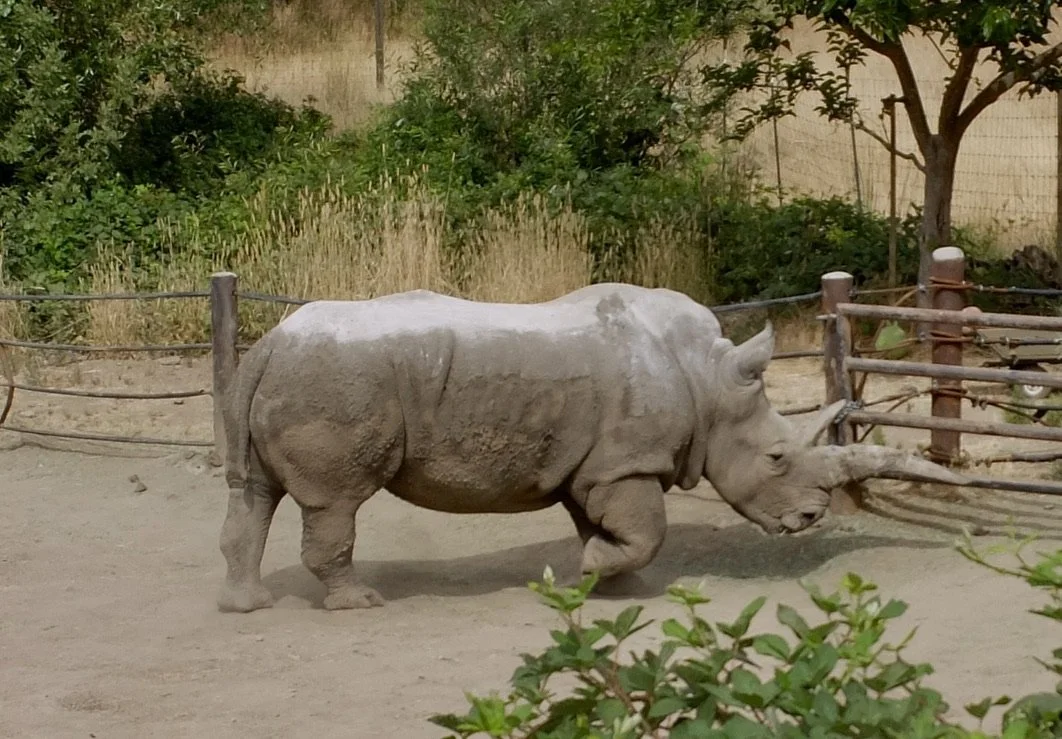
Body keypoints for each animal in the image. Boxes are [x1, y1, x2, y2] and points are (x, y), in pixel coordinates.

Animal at [217, 283, 964, 612]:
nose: (810, 518)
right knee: (335, 500)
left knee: (254, 491)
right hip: (335, 380)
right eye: (777, 457)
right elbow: (647, 529)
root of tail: (270, 342)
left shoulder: (598, 464)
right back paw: (361, 602)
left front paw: (612, 581)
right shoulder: (627, 462)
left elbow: (611, 524)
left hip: (293, 377)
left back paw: (246, 604)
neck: (709, 379)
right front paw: (591, 572)